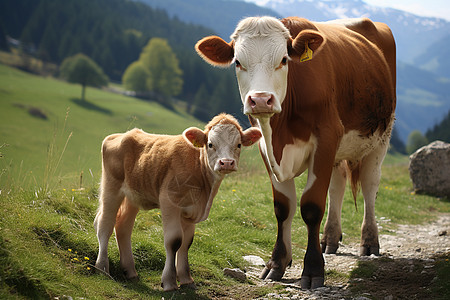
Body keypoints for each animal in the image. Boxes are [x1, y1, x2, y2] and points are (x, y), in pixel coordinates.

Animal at [95, 113, 264, 290]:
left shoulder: (191, 212)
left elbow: (186, 243)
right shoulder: (170, 202)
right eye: (210, 144)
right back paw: (102, 268)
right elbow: (174, 241)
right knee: (105, 224)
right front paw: (169, 282)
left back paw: (130, 271)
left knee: (123, 227)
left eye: (238, 144)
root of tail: (120, 135)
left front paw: (186, 279)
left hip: (133, 195)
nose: (226, 162)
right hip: (111, 186)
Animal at [195, 16, 396, 288]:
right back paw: (330, 238)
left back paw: (369, 241)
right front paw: (276, 264)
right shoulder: (266, 147)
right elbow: (283, 208)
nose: (260, 100)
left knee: (369, 186)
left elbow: (311, 207)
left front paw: (312, 270)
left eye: (283, 59)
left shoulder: (326, 138)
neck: (281, 134)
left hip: (382, 136)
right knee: (338, 184)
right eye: (237, 61)